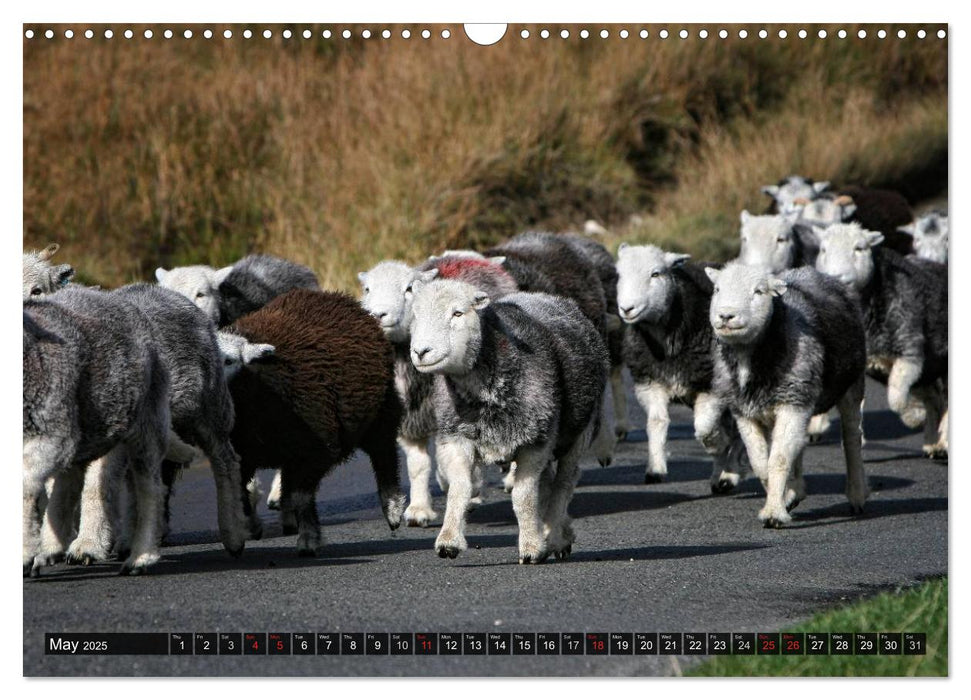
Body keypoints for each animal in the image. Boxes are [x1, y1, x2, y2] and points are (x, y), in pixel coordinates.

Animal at [410, 278, 608, 564]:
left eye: (457, 313)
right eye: (414, 315)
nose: (420, 351)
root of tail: (545, 296)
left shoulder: (535, 443)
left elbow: (523, 496)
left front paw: (531, 548)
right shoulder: (456, 438)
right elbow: (460, 489)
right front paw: (448, 542)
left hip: (579, 431)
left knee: (564, 483)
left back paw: (556, 537)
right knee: (547, 484)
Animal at [620, 243, 748, 490]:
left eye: (655, 273)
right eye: (619, 275)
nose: (626, 308)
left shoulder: (712, 385)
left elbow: (704, 427)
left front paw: (718, 444)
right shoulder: (650, 384)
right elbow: (656, 422)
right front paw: (655, 468)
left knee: (737, 430)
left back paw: (729, 475)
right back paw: (719, 475)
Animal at [704, 262, 868, 524]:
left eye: (759, 291)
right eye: (717, 289)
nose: (726, 315)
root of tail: (814, 271)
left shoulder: (792, 405)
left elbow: (779, 459)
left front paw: (774, 514)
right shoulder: (745, 412)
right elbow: (761, 462)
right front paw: (785, 496)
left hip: (850, 383)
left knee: (852, 438)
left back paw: (857, 495)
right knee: (798, 444)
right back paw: (796, 490)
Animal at [812, 221, 948, 456]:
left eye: (859, 248)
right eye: (823, 249)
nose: (838, 278)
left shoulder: (910, 351)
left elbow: (895, 400)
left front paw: (914, 416)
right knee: (935, 397)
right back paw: (933, 442)